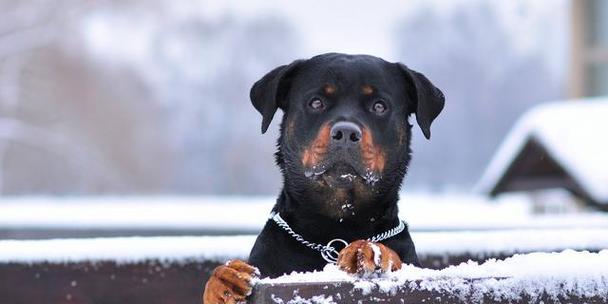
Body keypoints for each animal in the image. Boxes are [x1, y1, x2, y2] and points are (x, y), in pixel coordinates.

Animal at [202, 53, 444, 302]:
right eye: (316, 103)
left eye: (379, 106)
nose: (346, 133)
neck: (336, 225)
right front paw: (224, 280)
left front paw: (368, 250)